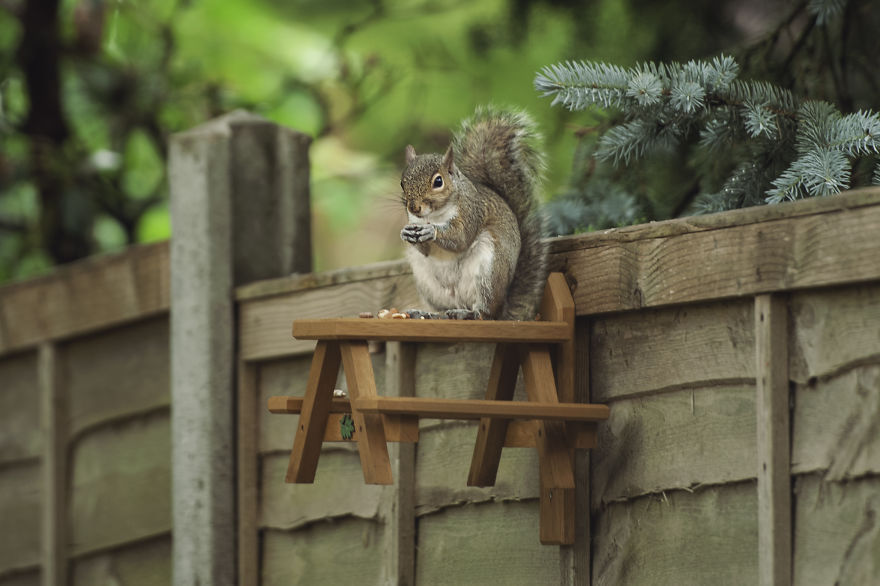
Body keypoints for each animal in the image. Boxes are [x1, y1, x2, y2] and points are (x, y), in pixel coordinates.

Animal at [399, 106, 548, 320]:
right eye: (402, 183)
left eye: (438, 181)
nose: (414, 208)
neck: (433, 216)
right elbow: (425, 250)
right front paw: (406, 232)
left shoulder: (471, 212)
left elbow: (461, 238)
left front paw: (431, 231)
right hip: (427, 283)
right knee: (443, 310)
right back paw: (427, 313)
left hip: (488, 271)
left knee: (484, 313)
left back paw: (467, 313)